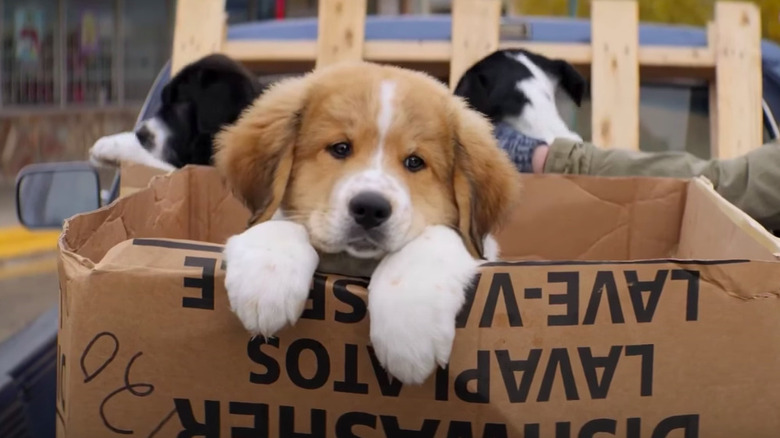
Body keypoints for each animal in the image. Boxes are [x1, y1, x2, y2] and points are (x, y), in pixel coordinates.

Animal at [213, 60, 516, 384]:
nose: (370, 208)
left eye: (415, 162)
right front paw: (265, 282)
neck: (354, 265)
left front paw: (408, 332)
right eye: (340, 148)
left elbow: (433, 239)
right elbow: (278, 223)